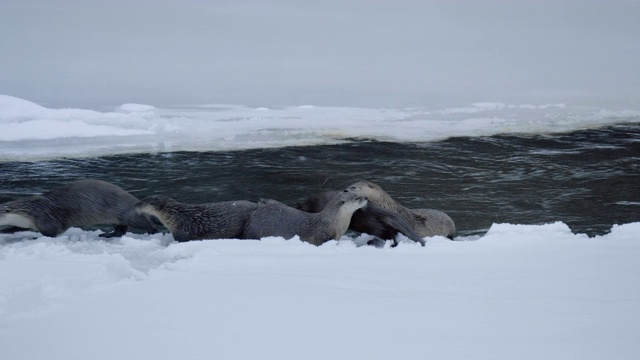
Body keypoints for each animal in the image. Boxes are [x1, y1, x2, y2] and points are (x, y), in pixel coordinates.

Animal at [0, 179, 158, 236]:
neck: (31, 211)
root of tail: (136, 201)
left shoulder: (46, 218)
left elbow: (52, 232)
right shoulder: (25, 222)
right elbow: (15, 228)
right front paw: (4, 231)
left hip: (128, 213)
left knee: (145, 222)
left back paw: (153, 232)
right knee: (121, 229)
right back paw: (108, 234)